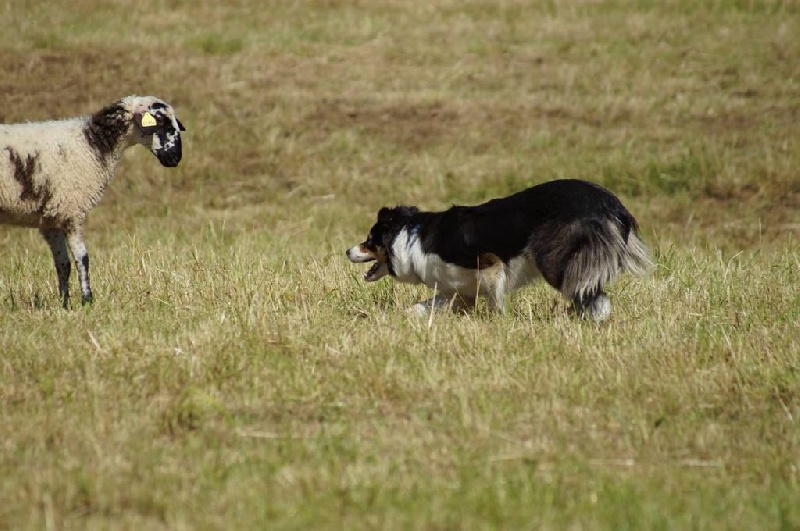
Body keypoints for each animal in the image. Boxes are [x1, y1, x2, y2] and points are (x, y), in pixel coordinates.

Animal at [0, 95, 186, 308]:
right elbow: (82, 258)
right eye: (160, 121)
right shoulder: (71, 209)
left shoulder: (52, 217)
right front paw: (87, 300)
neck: (92, 143)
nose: (175, 158)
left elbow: (62, 263)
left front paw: (65, 304)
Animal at [346, 180, 652, 320]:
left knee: (591, 293)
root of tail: (608, 201)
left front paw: (499, 323)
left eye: (369, 240)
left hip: (554, 258)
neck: (410, 239)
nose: (348, 251)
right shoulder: (458, 290)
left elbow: (496, 301)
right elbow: (423, 306)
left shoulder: (489, 265)